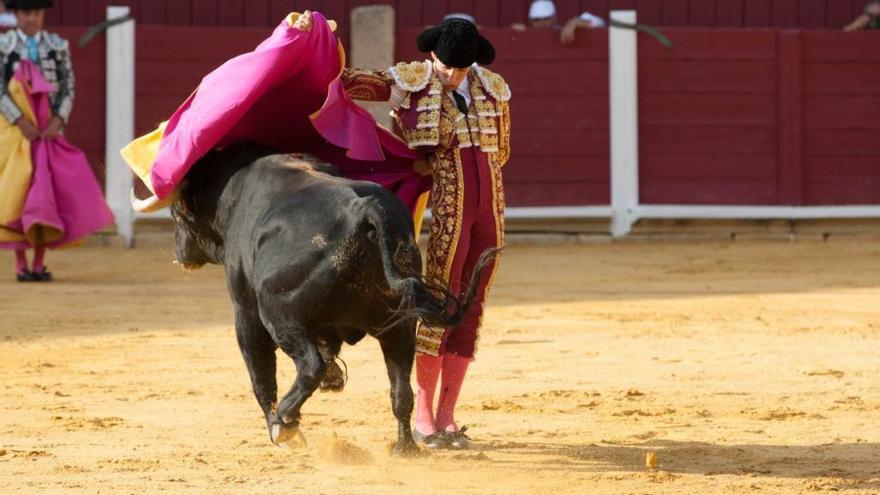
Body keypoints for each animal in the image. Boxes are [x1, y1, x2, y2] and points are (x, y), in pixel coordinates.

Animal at [167, 144, 496, 458]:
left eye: (177, 214)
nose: (180, 252)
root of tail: (366, 211)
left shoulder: (245, 312)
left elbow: (261, 374)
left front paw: (282, 430)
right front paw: (334, 379)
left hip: (280, 315)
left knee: (309, 367)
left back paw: (284, 421)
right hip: (399, 325)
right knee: (401, 390)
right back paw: (405, 449)